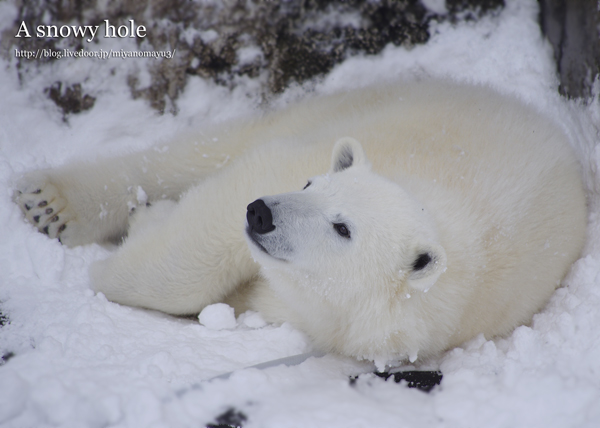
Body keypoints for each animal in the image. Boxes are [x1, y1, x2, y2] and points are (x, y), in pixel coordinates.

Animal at [14, 81, 584, 364]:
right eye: (312, 186)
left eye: (343, 228)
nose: (261, 213)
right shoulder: (294, 161)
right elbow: (217, 213)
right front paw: (129, 245)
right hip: (362, 103)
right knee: (205, 148)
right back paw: (53, 203)